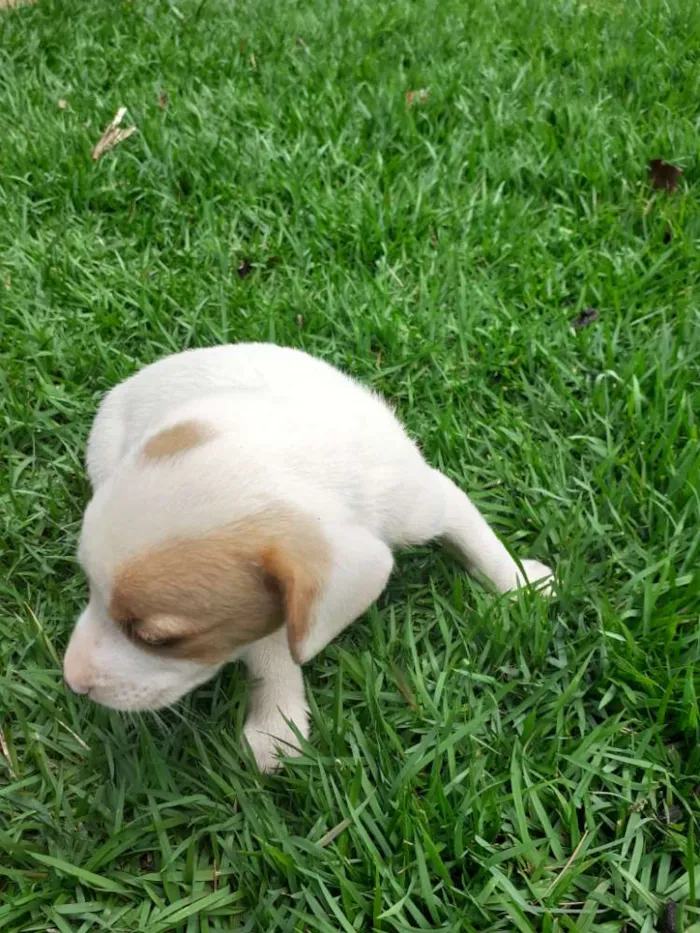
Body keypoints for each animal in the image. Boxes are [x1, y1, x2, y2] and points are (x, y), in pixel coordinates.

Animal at [65, 346, 556, 768]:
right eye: (90, 588)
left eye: (155, 639)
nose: (71, 682)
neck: (303, 466)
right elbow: (274, 657)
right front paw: (276, 725)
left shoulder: (424, 500)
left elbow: (478, 539)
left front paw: (521, 585)